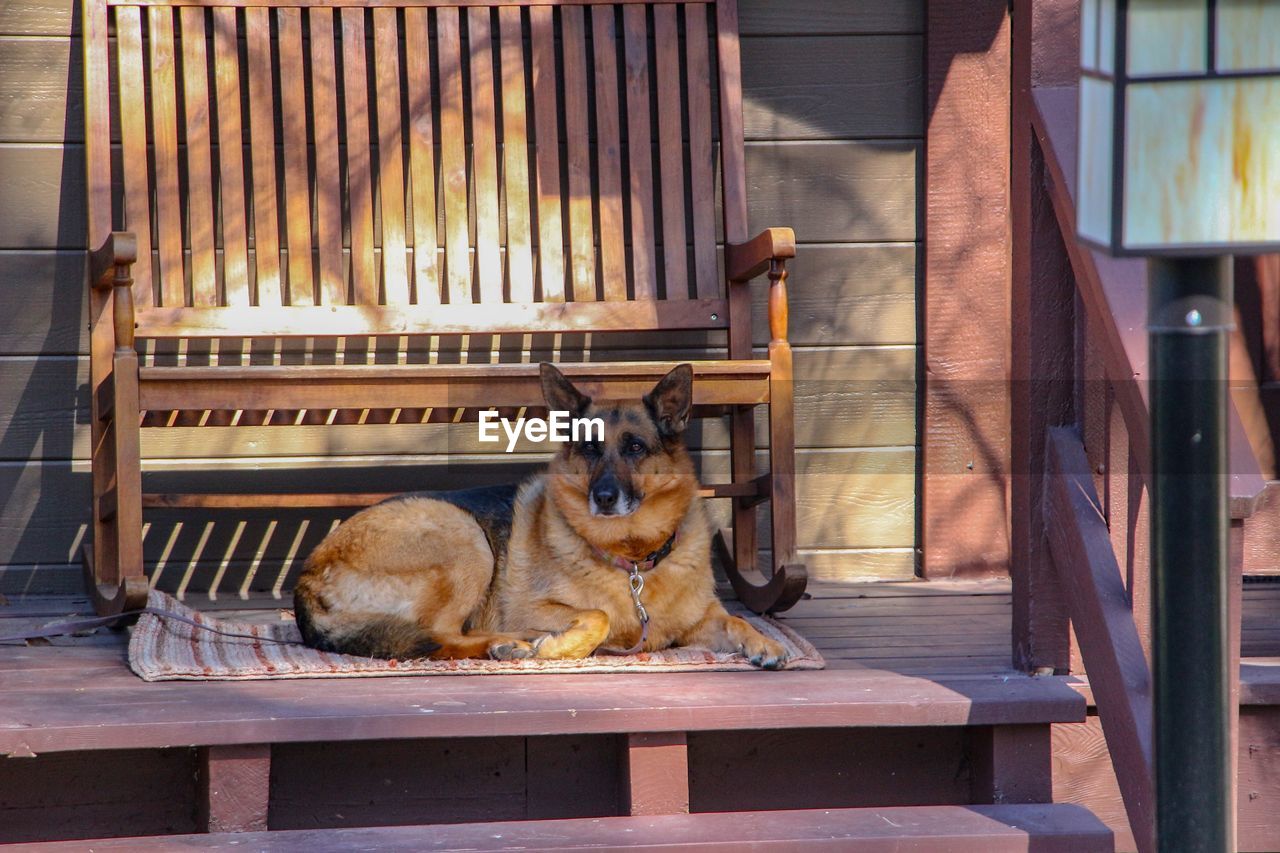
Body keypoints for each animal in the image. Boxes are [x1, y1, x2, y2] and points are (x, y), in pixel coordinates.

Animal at [293, 361, 788, 666]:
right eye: (589, 448)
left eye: (634, 447)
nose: (603, 498)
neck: (632, 556)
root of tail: (307, 577)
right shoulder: (533, 608)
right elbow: (598, 615)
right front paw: (554, 646)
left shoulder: (701, 621)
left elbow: (736, 619)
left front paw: (765, 643)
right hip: (465, 538)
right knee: (439, 635)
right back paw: (506, 646)